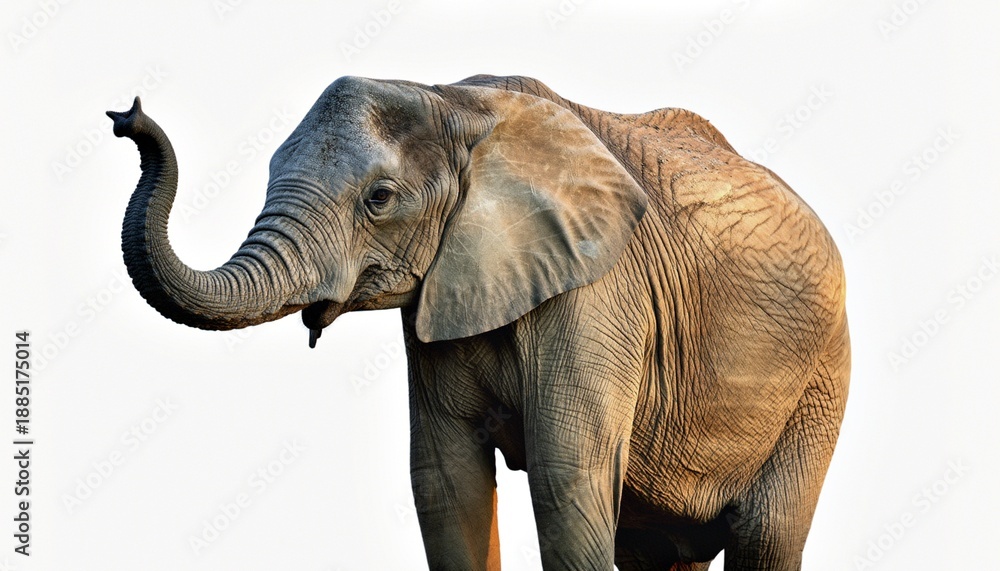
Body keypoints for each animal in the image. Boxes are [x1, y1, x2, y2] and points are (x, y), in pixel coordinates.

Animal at [107, 74, 849, 570]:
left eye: (380, 199)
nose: (125, 115)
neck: (456, 101)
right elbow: (444, 481)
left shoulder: (597, 292)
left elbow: (565, 477)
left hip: (822, 375)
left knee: (767, 535)